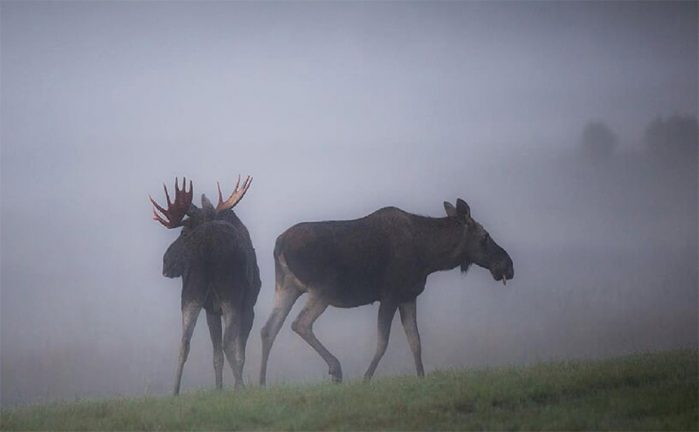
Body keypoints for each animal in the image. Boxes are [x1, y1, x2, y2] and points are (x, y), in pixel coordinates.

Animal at [150, 176, 260, 394]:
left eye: (184, 233)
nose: (165, 262)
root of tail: (207, 246)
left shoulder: (211, 310)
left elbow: (216, 356)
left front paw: (219, 389)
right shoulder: (248, 307)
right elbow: (239, 352)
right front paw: (231, 387)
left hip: (192, 292)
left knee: (184, 342)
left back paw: (175, 391)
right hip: (230, 293)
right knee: (228, 343)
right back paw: (240, 386)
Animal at [262, 199, 516, 384]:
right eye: (485, 236)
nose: (508, 265)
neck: (430, 256)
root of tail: (278, 244)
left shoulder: (408, 296)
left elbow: (415, 340)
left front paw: (421, 378)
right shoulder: (390, 295)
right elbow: (383, 342)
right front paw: (366, 378)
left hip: (286, 286)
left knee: (268, 329)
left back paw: (261, 383)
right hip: (322, 289)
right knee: (300, 324)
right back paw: (336, 369)